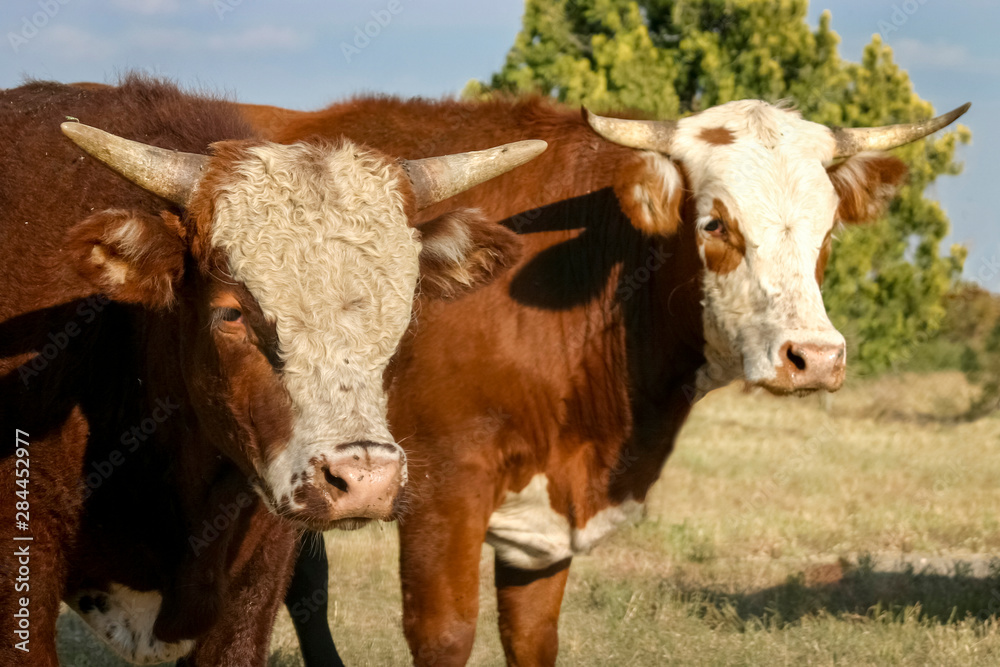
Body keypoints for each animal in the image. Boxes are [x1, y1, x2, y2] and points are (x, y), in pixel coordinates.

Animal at [242, 95, 968, 667]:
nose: (814, 356)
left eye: (828, 229)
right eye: (715, 223)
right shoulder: (441, 491)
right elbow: (444, 635)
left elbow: (532, 636)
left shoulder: (541, 521)